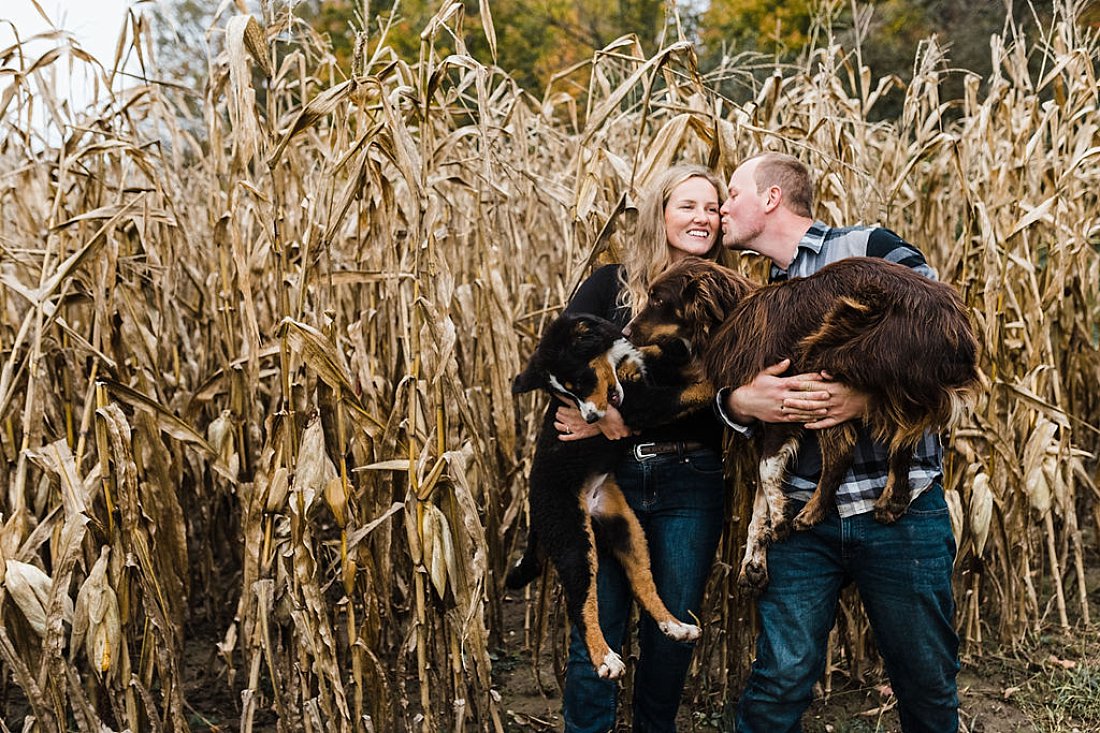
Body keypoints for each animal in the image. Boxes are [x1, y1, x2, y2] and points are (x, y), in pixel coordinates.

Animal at [508, 310, 712, 677]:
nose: (590, 418)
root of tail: (534, 510)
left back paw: (676, 627)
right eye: (567, 395)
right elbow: (693, 391)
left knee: (642, 581)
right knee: (581, 604)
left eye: (579, 383)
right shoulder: (641, 405)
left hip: (626, 527)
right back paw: (605, 659)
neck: (614, 366)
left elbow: (658, 354)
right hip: (574, 539)